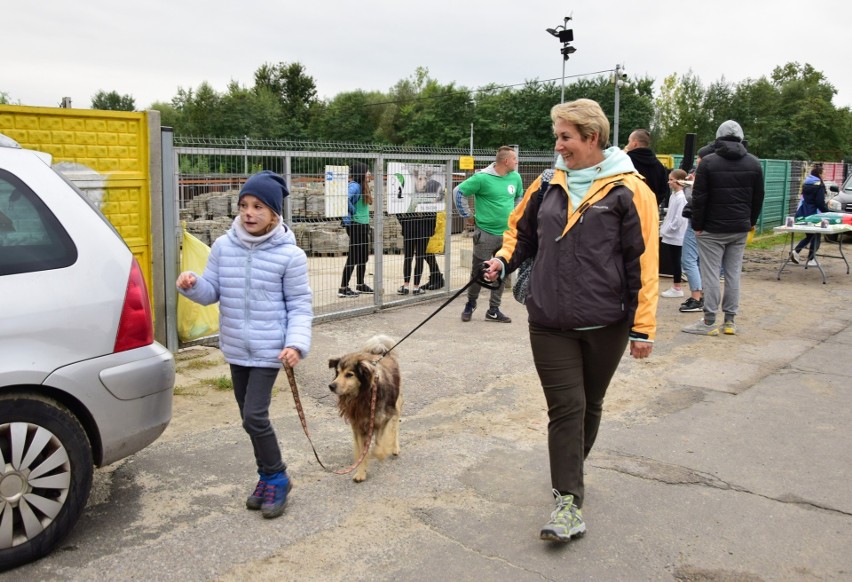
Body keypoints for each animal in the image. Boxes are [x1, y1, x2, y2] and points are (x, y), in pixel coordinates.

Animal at [330, 338, 402, 484]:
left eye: (349, 375)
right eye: (338, 372)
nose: (331, 386)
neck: (364, 395)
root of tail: (382, 352)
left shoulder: (383, 419)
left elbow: (379, 445)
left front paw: (378, 453)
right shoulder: (358, 426)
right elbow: (362, 452)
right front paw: (360, 472)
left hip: (396, 404)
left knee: (395, 426)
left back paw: (395, 448)